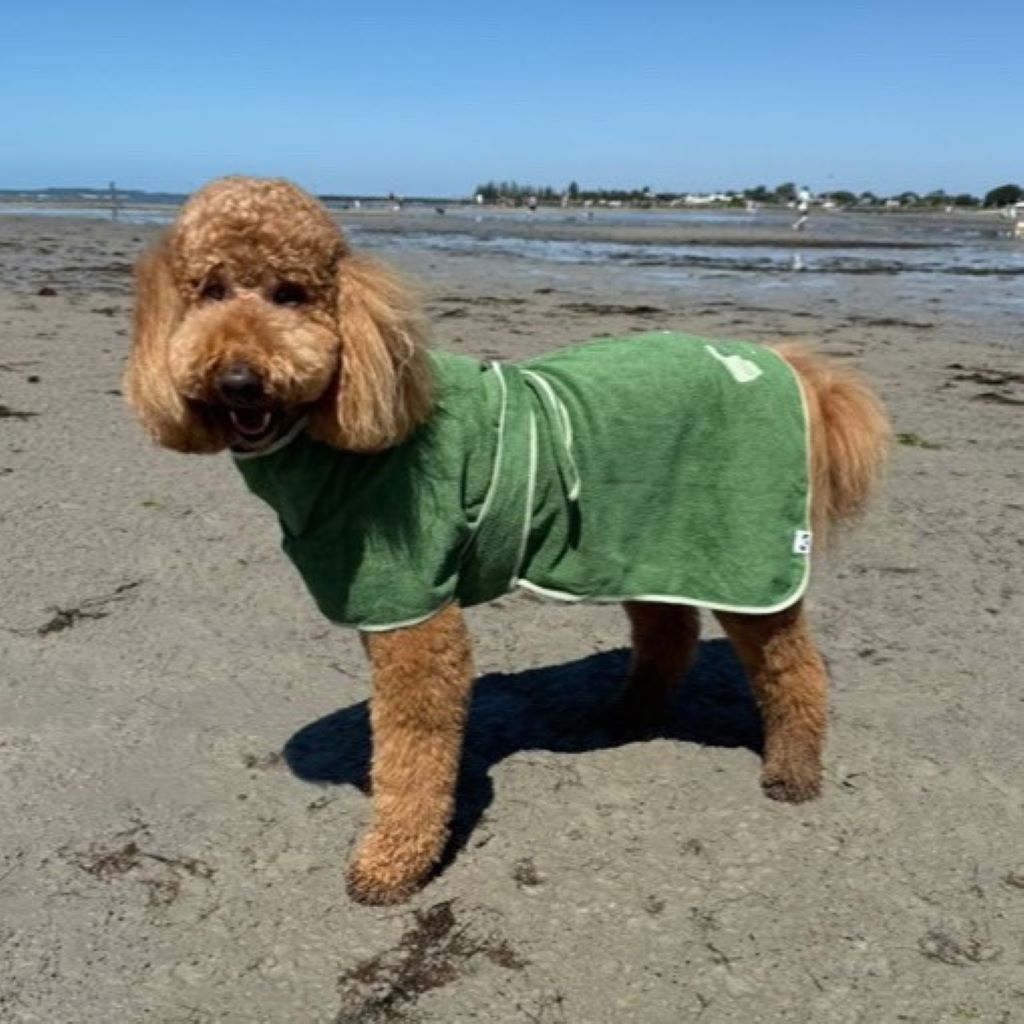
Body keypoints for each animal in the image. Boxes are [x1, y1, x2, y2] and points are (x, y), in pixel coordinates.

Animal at [125, 176, 888, 905]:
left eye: (290, 294)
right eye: (209, 291)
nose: (238, 378)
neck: (338, 434)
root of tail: (780, 361)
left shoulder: (414, 611)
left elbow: (412, 750)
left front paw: (392, 865)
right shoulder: (382, 603)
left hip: (745, 554)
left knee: (792, 666)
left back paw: (792, 770)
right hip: (642, 539)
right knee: (667, 631)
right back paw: (629, 715)